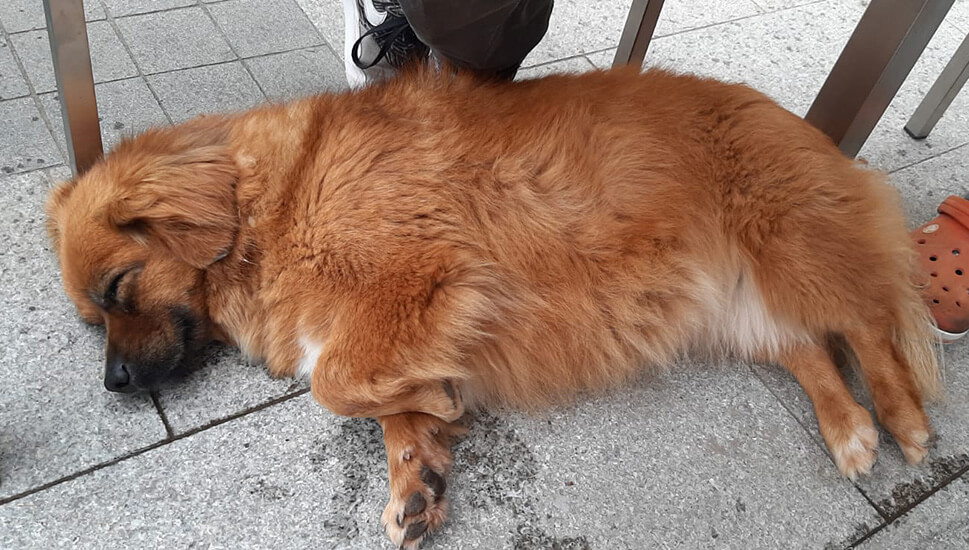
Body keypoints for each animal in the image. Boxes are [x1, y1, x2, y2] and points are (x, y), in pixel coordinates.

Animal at [46, 65, 941, 549]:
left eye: (117, 289)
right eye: (95, 321)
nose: (112, 385)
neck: (273, 202)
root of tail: (797, 122)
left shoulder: (423, 280)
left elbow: (336, 384)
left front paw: (436, 401)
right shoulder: (396, 326)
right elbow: (384, 411)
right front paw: (417, 473)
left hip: (785, 250)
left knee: (862, 326)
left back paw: (899, 420)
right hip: (733, 306)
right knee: (807, 350)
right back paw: (848, 429)